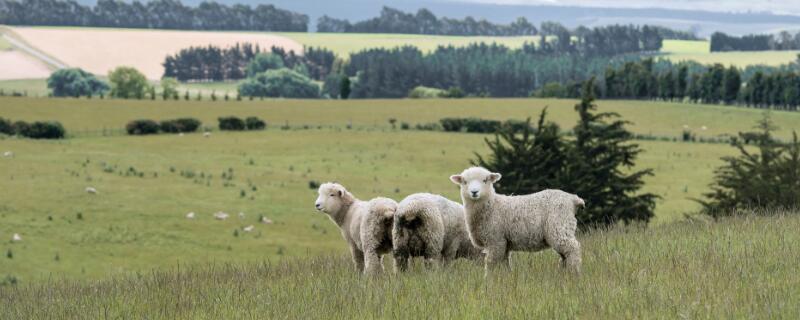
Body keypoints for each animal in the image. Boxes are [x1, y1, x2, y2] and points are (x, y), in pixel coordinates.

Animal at [446, 168, 584, 276]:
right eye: (465, 182)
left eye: (485, 180)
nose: (474, 192)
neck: (492, 206)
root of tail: (573, 199)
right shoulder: (504, 243)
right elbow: (505, 263)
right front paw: (506, 278)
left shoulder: (496, 240)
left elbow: (491, 263)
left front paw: (488, 280)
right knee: (564, 255)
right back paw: (563, 273)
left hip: (559, 226)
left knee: (573, 249)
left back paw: (574, 274)